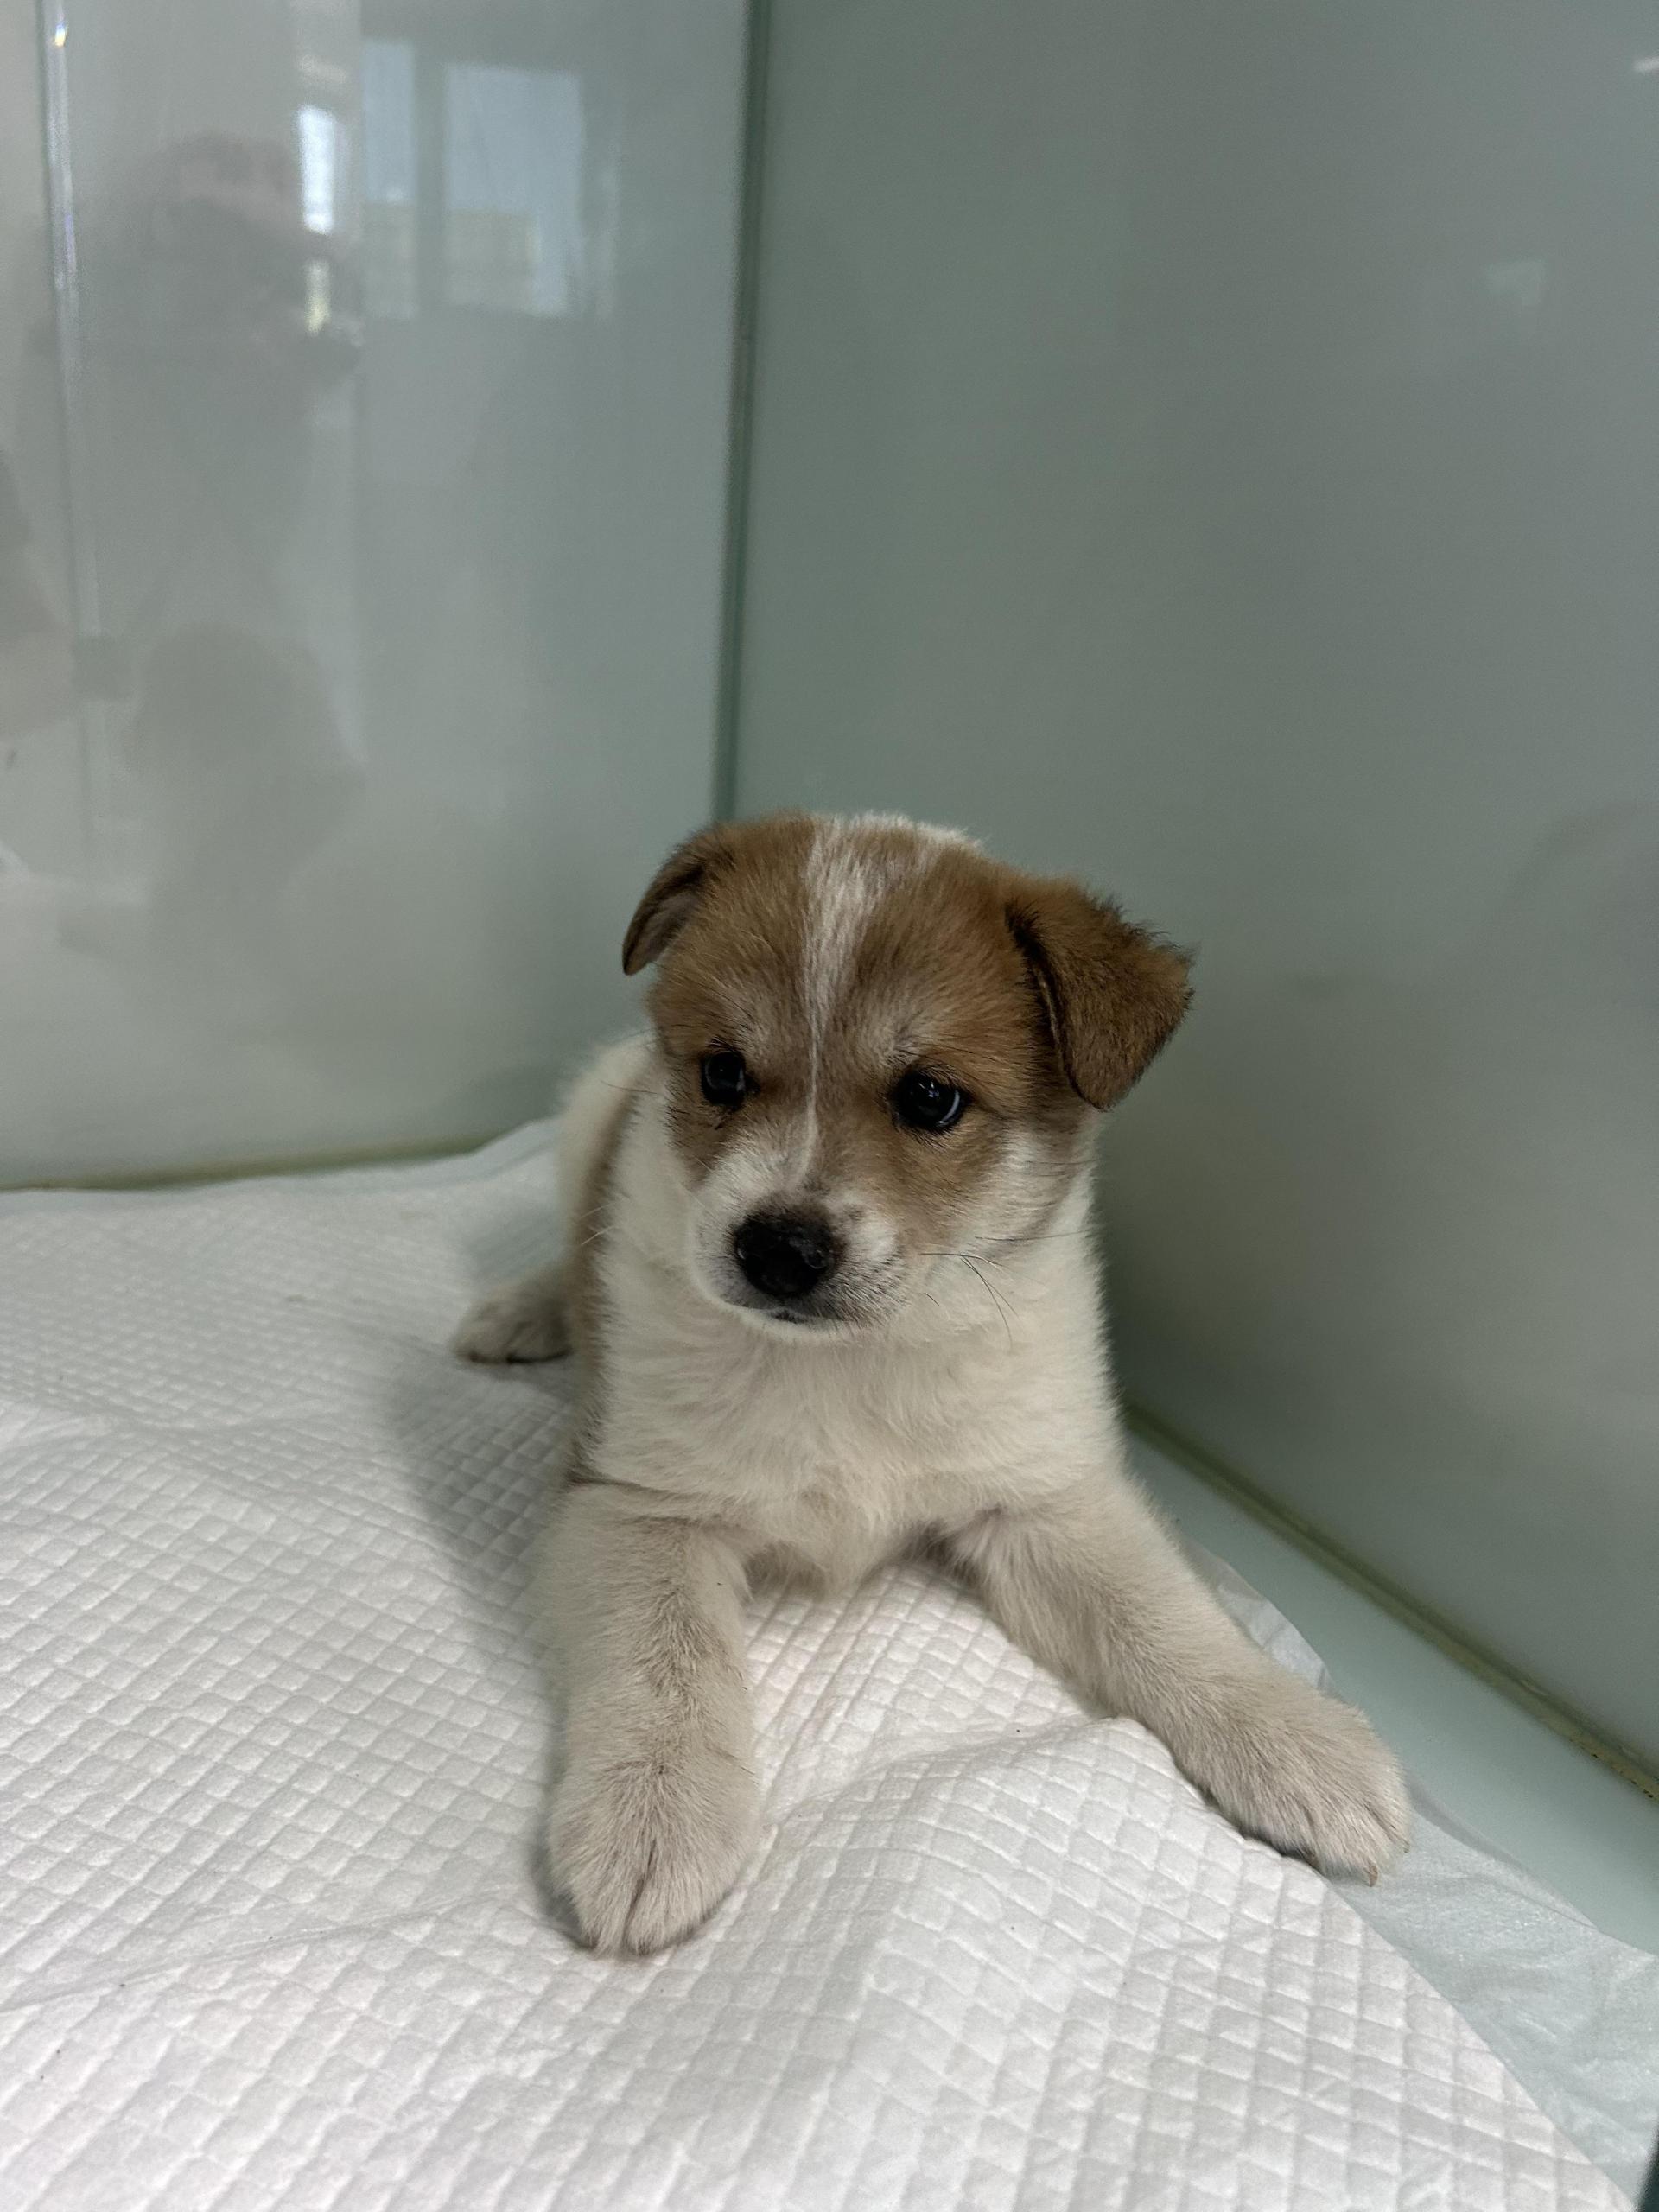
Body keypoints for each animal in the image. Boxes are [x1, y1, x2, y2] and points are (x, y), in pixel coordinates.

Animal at [456, 812, 1409, 1955]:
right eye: (723, 1073)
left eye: (930, 1097)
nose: (777, 1247)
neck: (852, 1360)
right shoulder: (637, 1504)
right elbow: (667, 1662)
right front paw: (654, 1812)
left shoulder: (1041, 1499)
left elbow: (1165, 1617)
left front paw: (1295, 1738)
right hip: (590, 1115)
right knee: (571, 1250)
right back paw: (521, 1311)